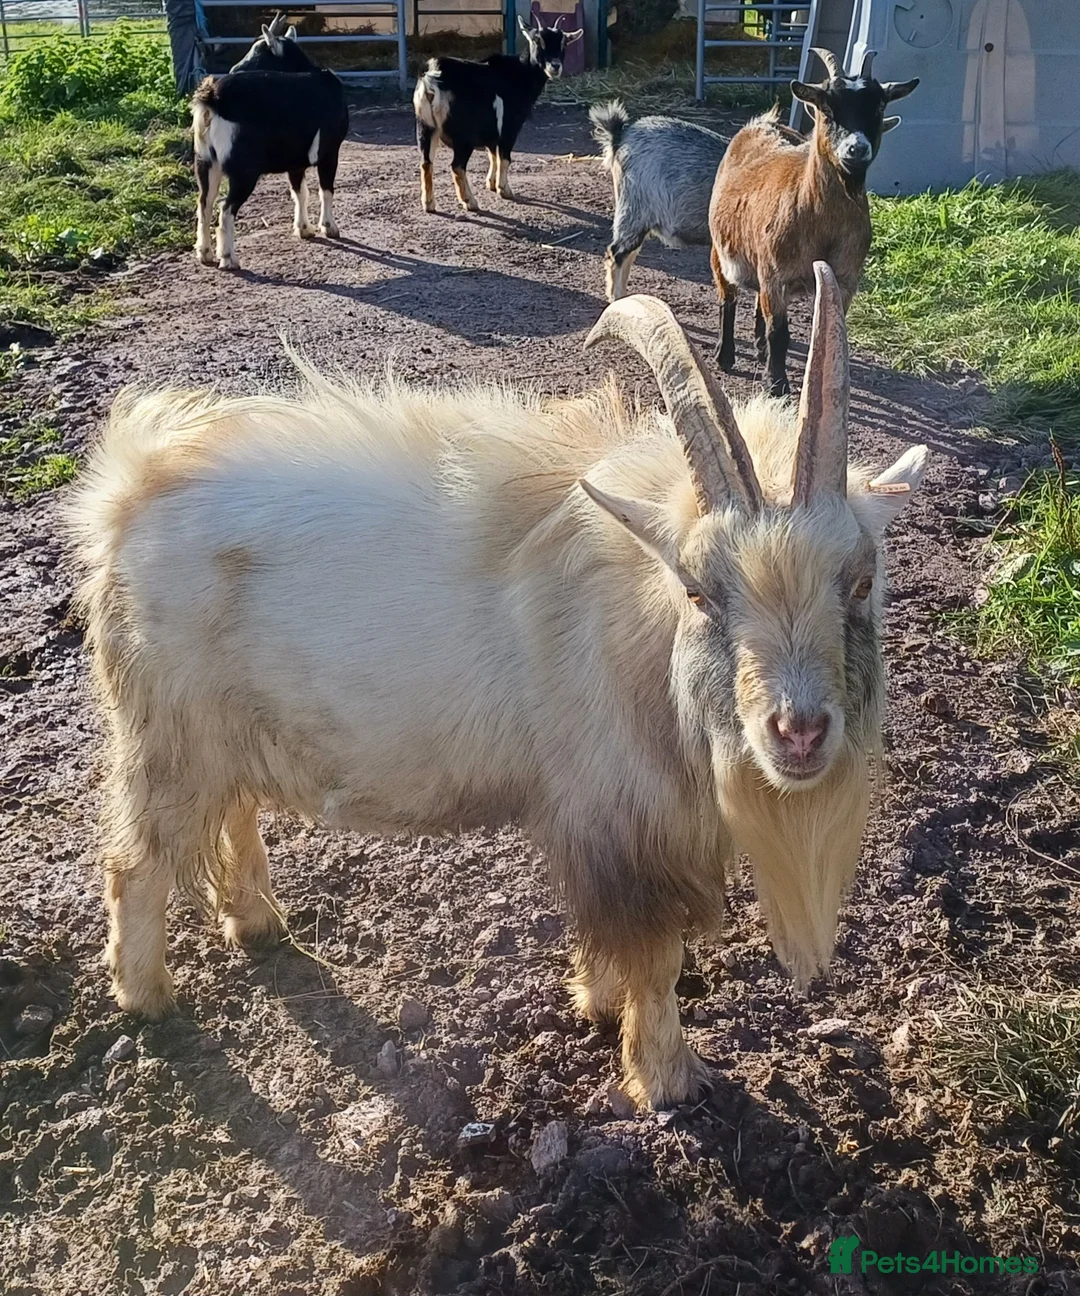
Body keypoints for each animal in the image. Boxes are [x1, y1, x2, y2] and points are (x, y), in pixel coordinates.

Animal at [68, 264, 927, 1109]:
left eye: (860, 582)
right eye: (698, 591)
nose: (799, 731)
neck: (635, 623)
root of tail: (127, 491)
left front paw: (595, 1000)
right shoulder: (619, 822)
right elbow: (654, 957)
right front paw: (666, 1079)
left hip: (226, 728)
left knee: (235, 810)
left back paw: (255, 923)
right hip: (166, 733)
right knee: (134, 865)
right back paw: (147, 997)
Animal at [192, 45, 348, 269]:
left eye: (258, 53)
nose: (234, 67)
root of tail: (213, 99)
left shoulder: (295, 162)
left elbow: (300, 192)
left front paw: (304, 229)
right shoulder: (330, 151)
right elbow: (326, 190)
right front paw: (329, 228)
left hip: (205, 162)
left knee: (205, 203)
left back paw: (205, 254)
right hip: (244, 172)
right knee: (226, 208)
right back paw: (229, 258)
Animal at [413, 15, 581, 213]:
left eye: (564, 43)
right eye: (537, 40)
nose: (555, 66)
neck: (520, 73)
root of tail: (433, 76)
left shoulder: (493, 130)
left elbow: (493, 155)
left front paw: (491, 184)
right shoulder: (509, 127)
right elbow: (505, 158)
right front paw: (504, 190)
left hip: (425, 127)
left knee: (426, 163)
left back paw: (429, 204)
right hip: (464, 135)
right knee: (457, 166)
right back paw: (470, 202)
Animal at [708, 48, 918, 395]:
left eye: (879, 107)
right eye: (827, 107)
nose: (856, 149)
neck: (821, 226)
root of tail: (764, 123)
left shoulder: (845, 279)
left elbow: (829, 331)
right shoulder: (777, 276)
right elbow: (779, 332)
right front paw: (776, 385)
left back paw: (758, 348)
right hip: (720, 249)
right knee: (728, 297)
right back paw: (725, 355)